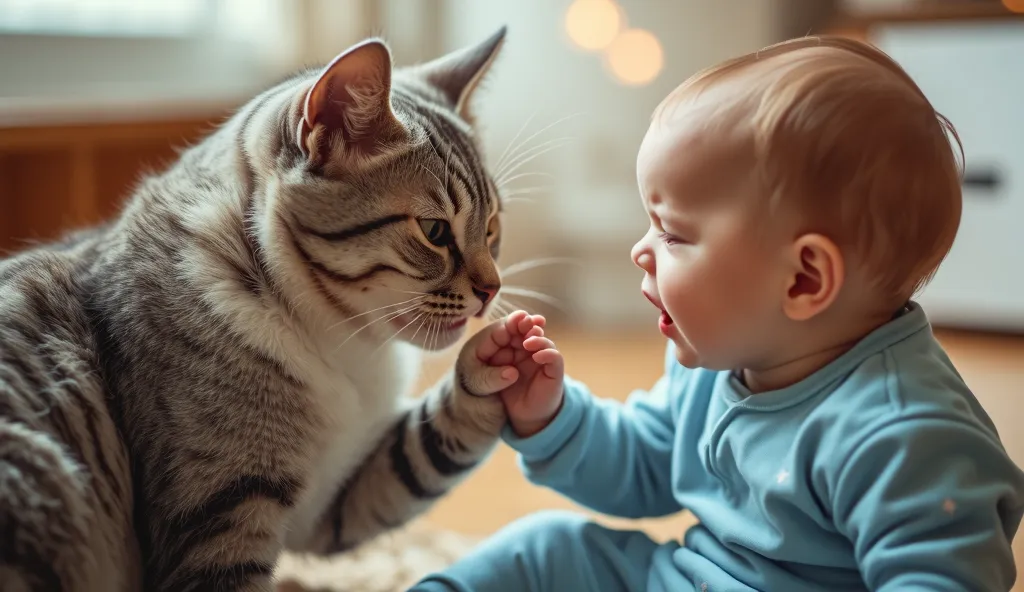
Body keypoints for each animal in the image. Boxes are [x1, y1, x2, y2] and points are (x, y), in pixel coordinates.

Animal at [0, 25, 512, 585]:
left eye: (492, 228)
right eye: (435, 231)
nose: (493, 290)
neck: (343, 347)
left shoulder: (329, 501)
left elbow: (417, 454)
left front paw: (506, 363)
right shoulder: (224, 513)